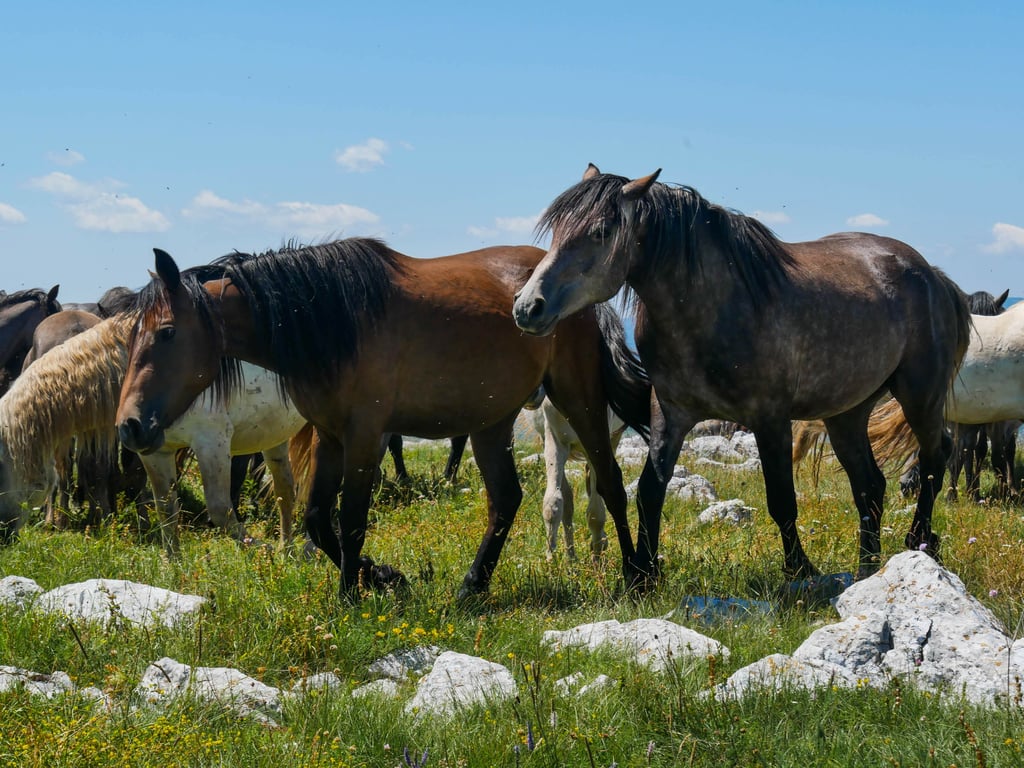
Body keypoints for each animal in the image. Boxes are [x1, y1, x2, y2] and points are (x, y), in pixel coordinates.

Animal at [0, 315, 303, 557]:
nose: (3, 539)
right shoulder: (153, 450)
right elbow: (164, 507)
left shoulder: (211, 442)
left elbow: (219, 510)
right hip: (274, 435)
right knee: (285, 490)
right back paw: (288, 549)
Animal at [116, 240, 651, 602]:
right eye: (132, 334)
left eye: (166, 332)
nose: (129, 426)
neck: (333, 321)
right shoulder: (330, 437)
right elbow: (317, 519)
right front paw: (381, 576)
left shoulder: (365, 437)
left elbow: (351, 518)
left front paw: (351, 593)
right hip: (491, 422)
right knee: (506, 500)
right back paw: (472, 587)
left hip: (579, 399)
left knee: (609, 481)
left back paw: (637, 573)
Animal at [516, 162, 970, 581]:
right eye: (556, 230)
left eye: (600, 231)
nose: (528, 307)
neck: (712, 309)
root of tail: (932, 276)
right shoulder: (670, 414)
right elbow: (649, 491)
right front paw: (643, 573)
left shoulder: (769, 417)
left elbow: (781, 499)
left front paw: (799, 571)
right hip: (846, 412)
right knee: (870, 485)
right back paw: (866, 569)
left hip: (919, 395)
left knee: (935, 455)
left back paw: (919, 542)